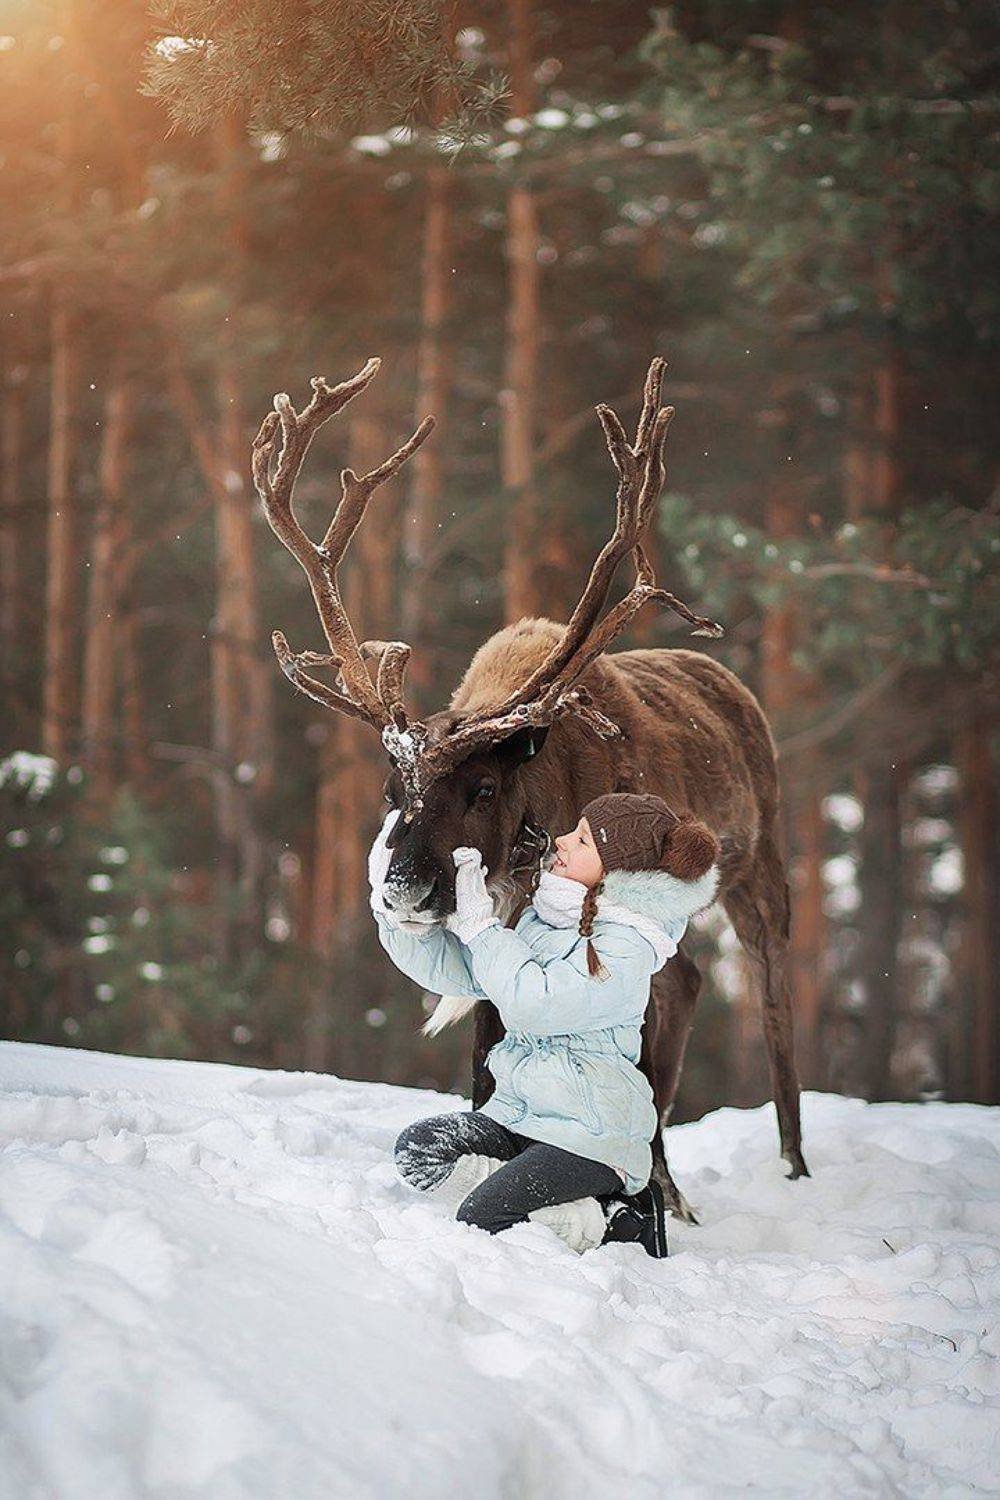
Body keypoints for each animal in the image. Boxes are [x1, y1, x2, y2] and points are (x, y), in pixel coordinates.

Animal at [250, 354, 809, 1220]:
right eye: (392, 792)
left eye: (483, 788)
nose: (403, 889)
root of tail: (731, 685)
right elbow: (486, 1056)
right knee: (684, 981)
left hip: (761, 864)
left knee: (771, 990)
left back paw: (784, 1170)